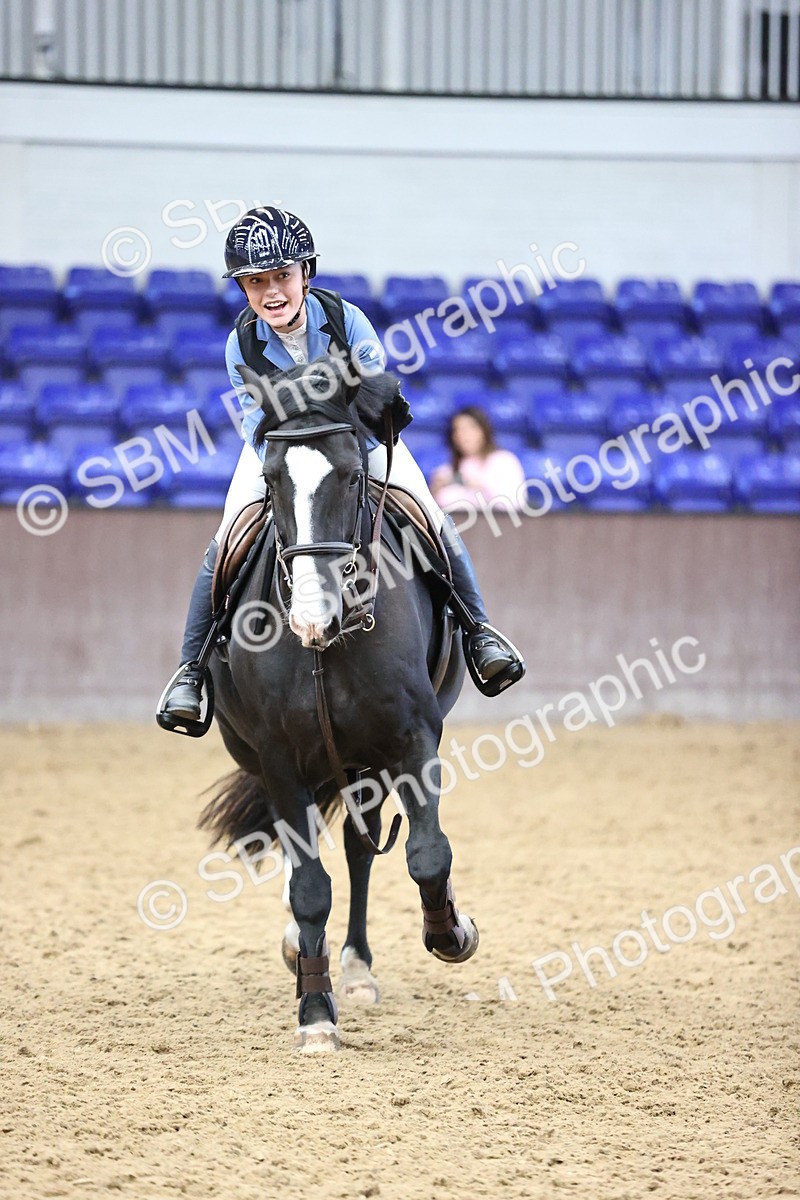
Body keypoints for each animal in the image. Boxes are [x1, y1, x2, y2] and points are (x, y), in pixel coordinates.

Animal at [198, 354, 479, 1052]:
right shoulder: (277, 755)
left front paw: (451, 933)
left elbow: (427, 854)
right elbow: (307, 887)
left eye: (353, 473)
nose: (312, 616)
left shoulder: (411, 738)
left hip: (364, 764)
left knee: (359, 848)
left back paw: (355, 967)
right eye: (272, 479)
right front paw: (316, 1013)